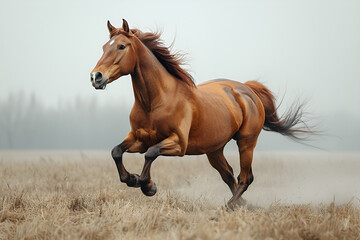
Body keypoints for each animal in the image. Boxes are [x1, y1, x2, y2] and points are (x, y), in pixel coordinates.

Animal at [89, 19, 310, 209]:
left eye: (121, 46)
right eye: (103, 47)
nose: (95, 77)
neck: (155, 102)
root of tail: (247, 90)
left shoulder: (178, 144)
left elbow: (151, 153)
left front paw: (148, 186)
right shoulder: (139, 139)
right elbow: (117, 151)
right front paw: (132, 179)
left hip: (246, 142)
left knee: (245, 177)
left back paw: (231, 205)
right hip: (214, 149)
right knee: (229, 175)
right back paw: (243, 204)